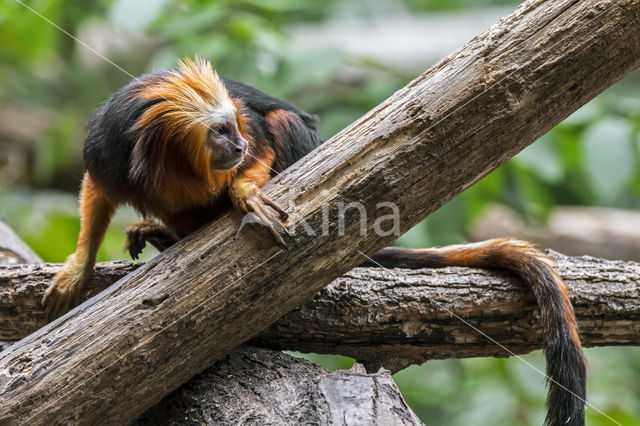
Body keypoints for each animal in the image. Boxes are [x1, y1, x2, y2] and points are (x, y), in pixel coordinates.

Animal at [43, 57, 584, 426]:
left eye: (230, 128)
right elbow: (97, 192)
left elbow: (266, 133)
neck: (168, 162)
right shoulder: (111, 150)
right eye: (217, 133)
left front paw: (245, 191)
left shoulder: (246, 125)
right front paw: (77, 268)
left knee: (284, 124)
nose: (235, 144)